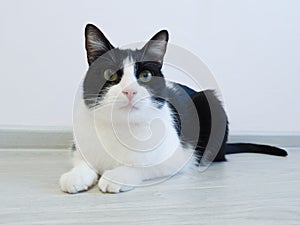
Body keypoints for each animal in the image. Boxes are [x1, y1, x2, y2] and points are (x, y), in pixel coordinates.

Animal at [59, 24, 288, 193]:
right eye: (110, 74)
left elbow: (144, 165)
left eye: (145, 76)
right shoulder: (81, 145)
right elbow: (81, 161)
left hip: (211, 102)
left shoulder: (178, 157)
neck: (122, 126)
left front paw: (116, 176)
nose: (130, 91)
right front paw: (76, 176)